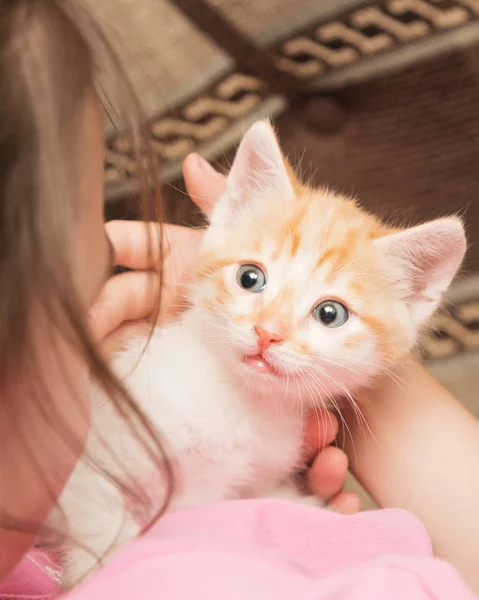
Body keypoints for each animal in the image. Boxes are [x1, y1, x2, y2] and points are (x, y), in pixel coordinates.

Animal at [47, 120, 464, 584]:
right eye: (250, 278)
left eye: (331, 313)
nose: (268, 334)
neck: (238, 403)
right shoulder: (83, 448)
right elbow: (102, 524)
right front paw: (102, 568)